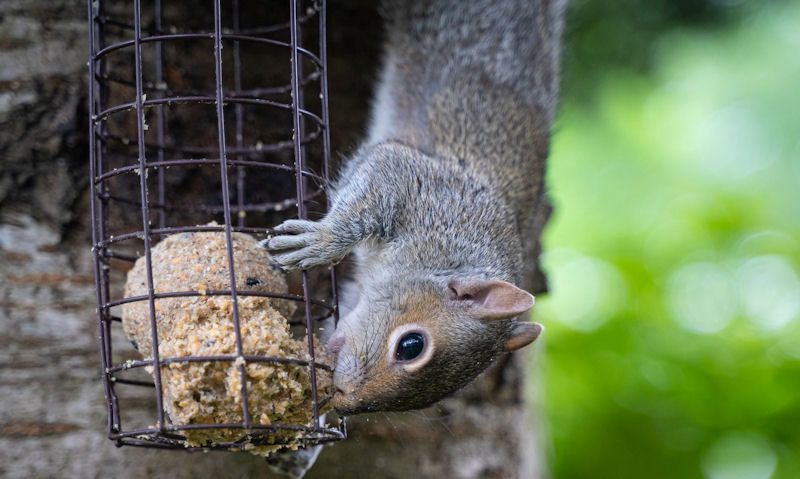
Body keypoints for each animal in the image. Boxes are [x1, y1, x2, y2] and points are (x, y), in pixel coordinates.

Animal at [268, 0, 564, 416]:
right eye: (411, 346)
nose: (343, 401)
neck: (451, 249)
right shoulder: (415, 181)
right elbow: (365, 198)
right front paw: (321, 242)